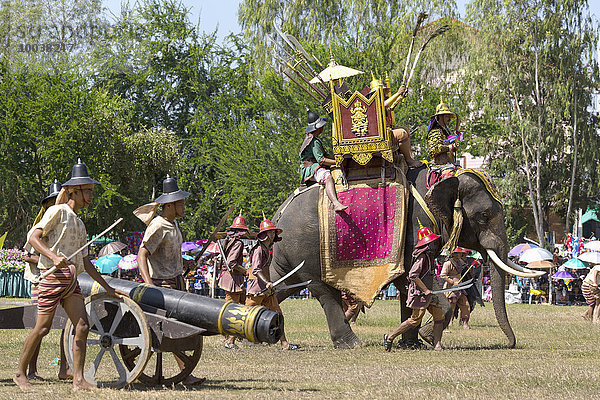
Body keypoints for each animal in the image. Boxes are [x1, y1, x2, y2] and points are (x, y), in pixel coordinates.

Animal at [270, 164, 540, 348]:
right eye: (483, 216)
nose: (510, 344)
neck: (441, 178)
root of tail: (279, 214)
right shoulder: (413, 229)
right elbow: (417, 278)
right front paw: (428, 336)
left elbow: (408, 285)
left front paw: (412, 343)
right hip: (307, 248)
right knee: (325, 293)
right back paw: (352, 344)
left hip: (289, 252)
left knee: (279, 285)